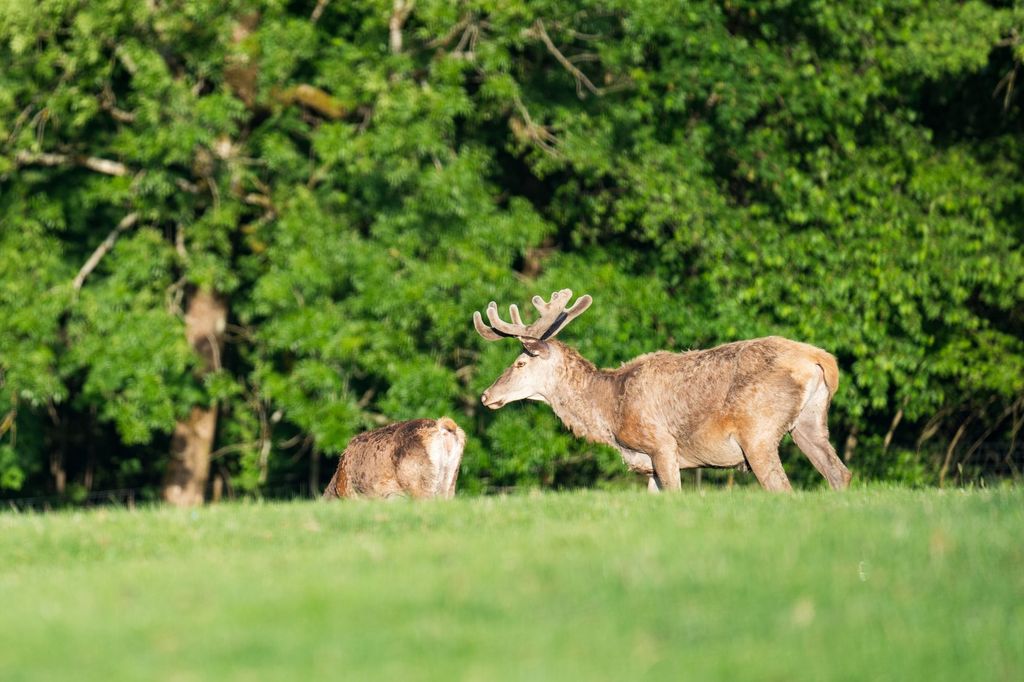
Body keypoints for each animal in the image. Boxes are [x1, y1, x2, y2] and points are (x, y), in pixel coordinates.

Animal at [473, 289, 852, 492]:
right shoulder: (649, 463)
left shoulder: (662, 445)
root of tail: (822, 359)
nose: (486, 396)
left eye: (520, 363)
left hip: (757, 430)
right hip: (809, 423)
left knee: (782, 487)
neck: (611, 410)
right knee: (839, 473)